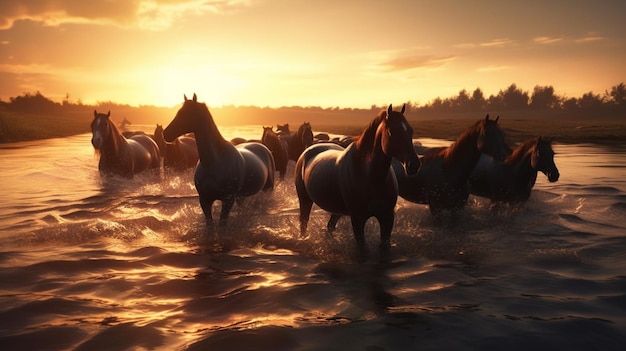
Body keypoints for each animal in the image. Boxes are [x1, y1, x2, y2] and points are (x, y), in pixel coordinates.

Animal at [162, 93, 274, 226]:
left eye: (187, 113)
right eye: (179, 112)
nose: (166, 134)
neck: (213, 163)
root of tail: (263, 147)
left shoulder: (228, 200)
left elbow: (222, 223)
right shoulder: (205, 200)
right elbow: (209, 224)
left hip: (268, 189)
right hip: (241, 197)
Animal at [294, 104, 420, 256]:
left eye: (410, 130)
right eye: (391, 131)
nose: (413, 165)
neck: (371, 176)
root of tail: (308, 149)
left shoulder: (387, 217)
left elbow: (384, 247)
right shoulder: (358, 219)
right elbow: (362, 249)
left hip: (337, 210)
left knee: (330, 226)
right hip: (305, 200)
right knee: (304, 223)